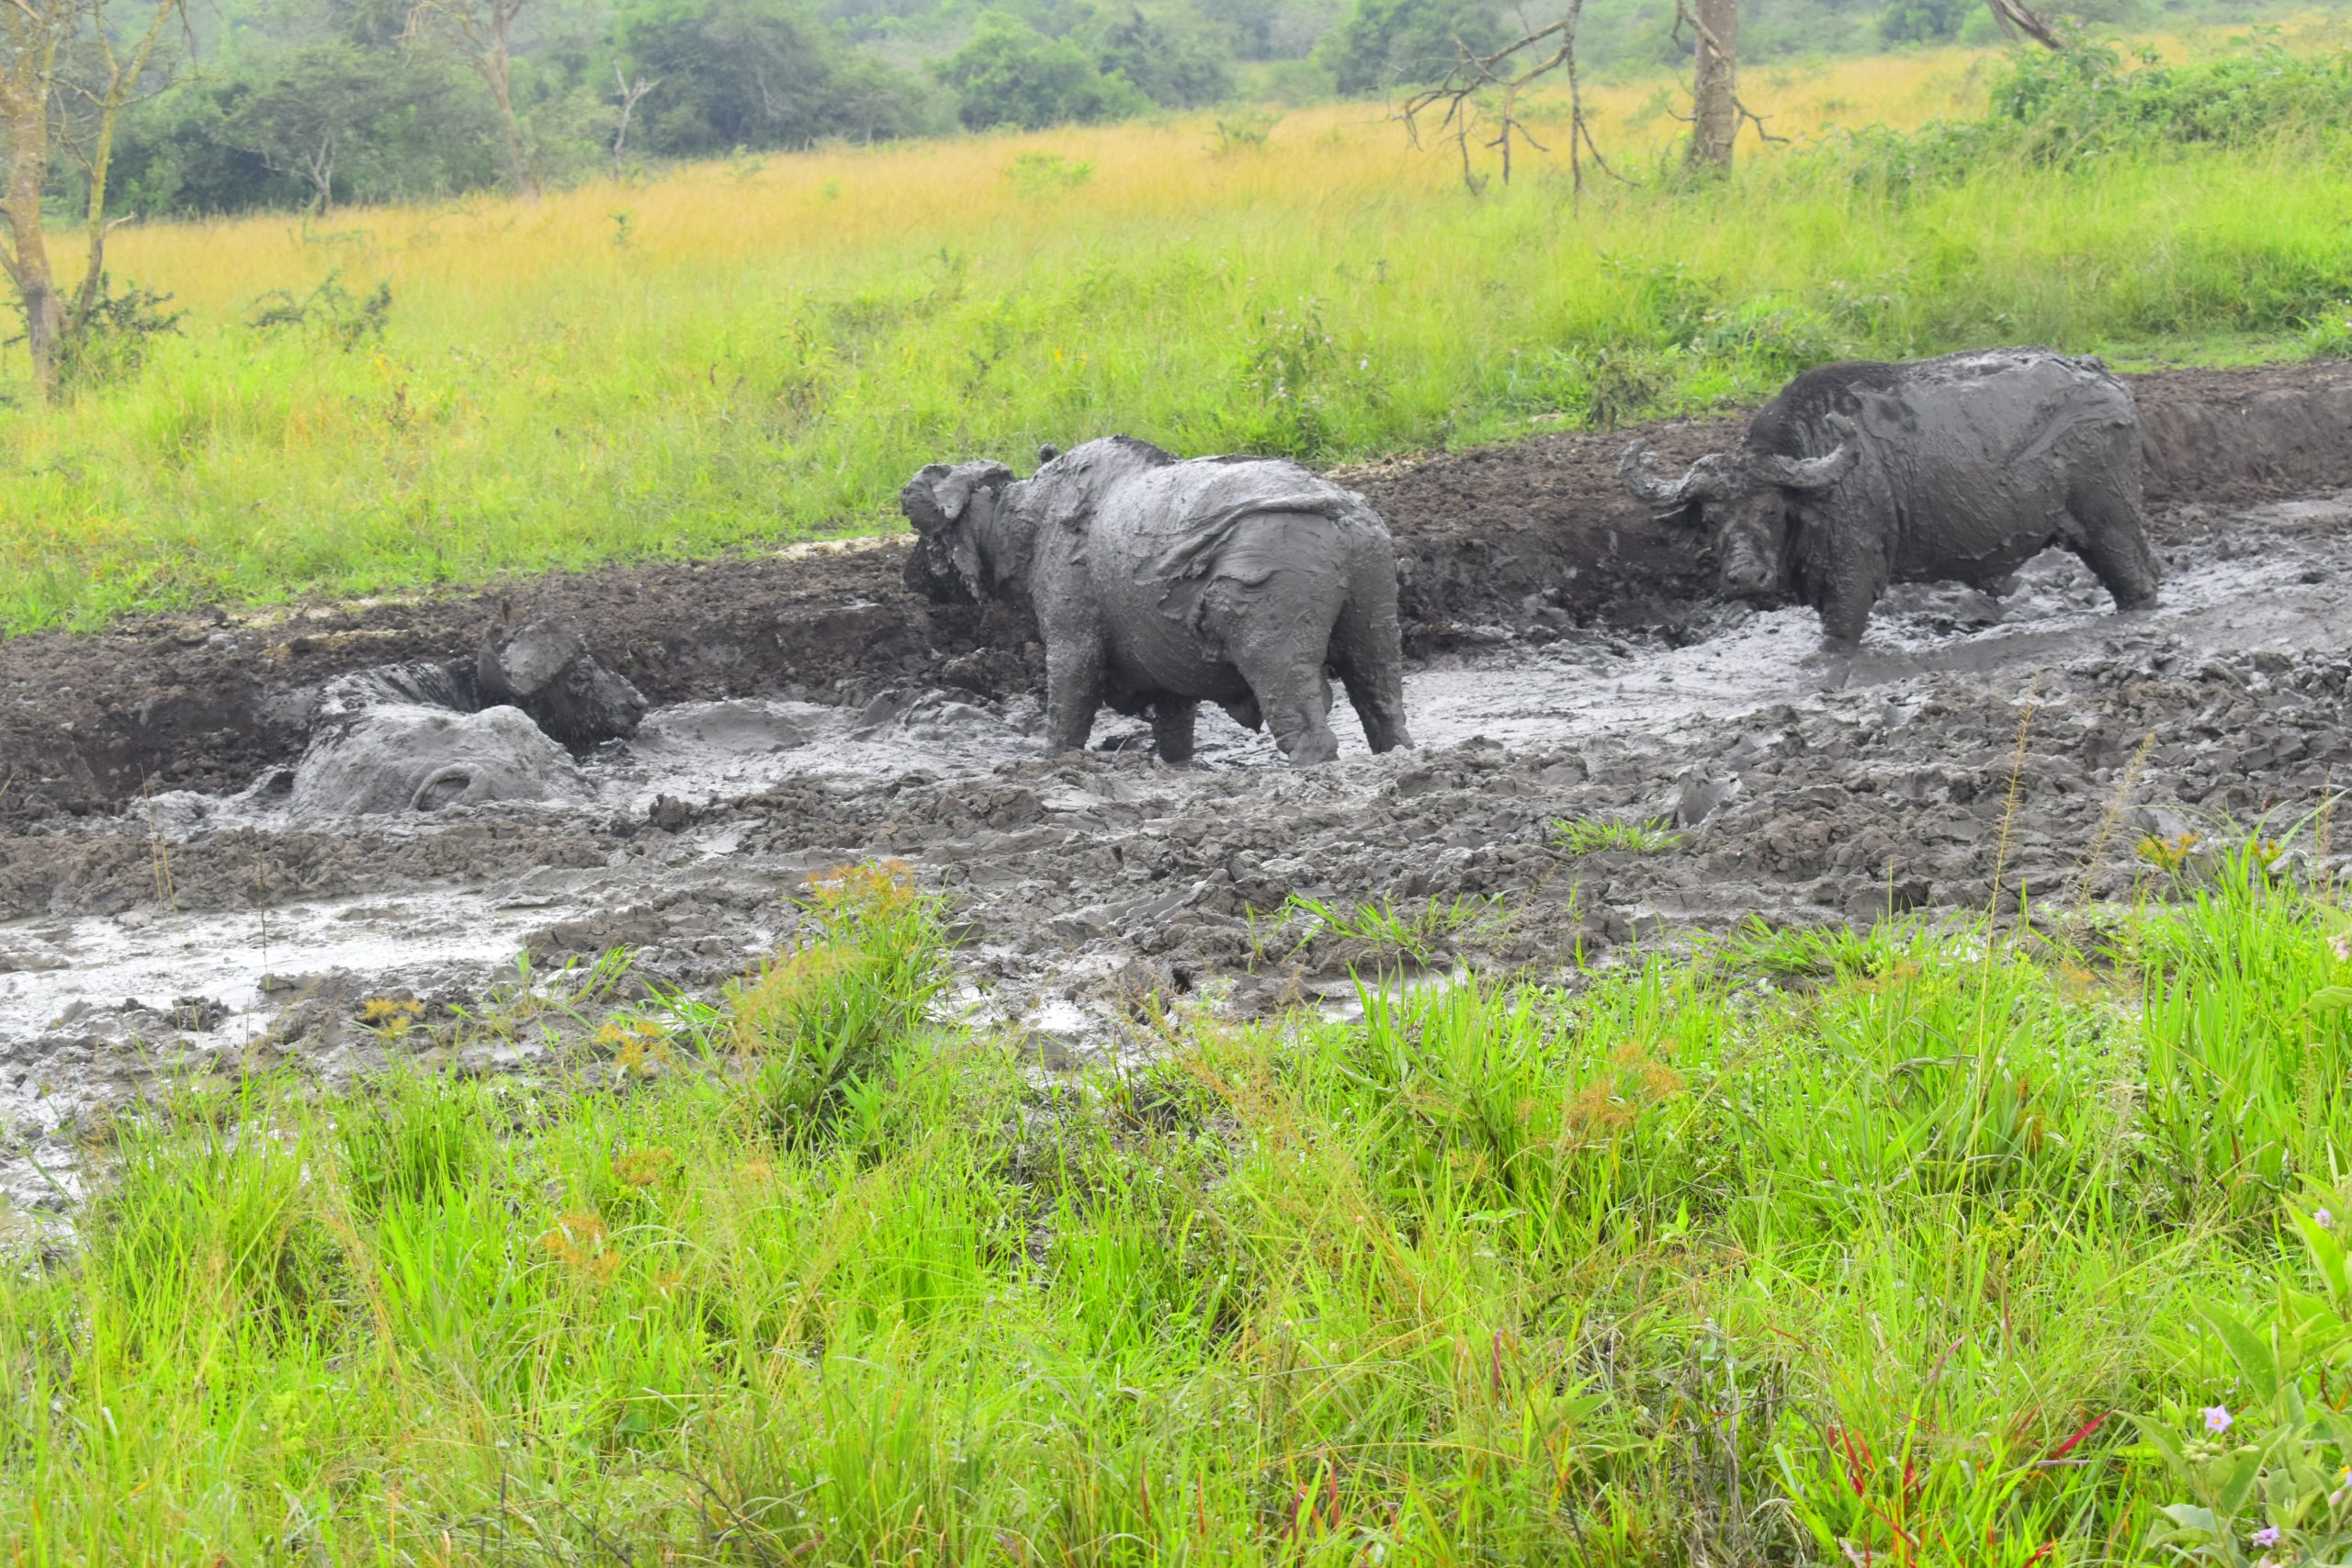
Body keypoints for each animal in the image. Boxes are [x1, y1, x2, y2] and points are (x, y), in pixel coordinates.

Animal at [903, 434, 1411, 766]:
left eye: (928, 540)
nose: (909, 578)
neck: (1028, 520)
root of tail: (1339, 510)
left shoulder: (1072, 642)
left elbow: (1067, 712)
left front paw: (1051, 765)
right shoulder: (1165, 666)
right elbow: (1174, 728)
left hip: (1272, 644)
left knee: (1307, 729)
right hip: (1375, 623)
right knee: (1383, 706)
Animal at [1627, 350, 2154, 649]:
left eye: (1772, 509)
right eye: (1711, 519)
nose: (1746, 576)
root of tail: (2103, 377)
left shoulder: (1852, 578)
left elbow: (1838, 641)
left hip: (2111, 524)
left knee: (2139, 585)